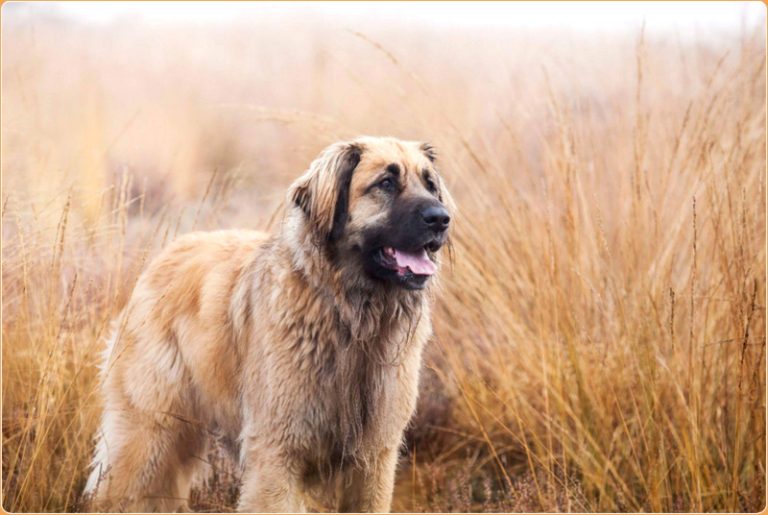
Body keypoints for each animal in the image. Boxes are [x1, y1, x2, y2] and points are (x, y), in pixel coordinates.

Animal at [84, 136, 452, 512]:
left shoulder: (375, 457)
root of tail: (166, 255)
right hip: (148, 432)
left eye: (430, 185)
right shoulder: (277, 451)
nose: (441, 219)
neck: (350, 317)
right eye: (386, 183)